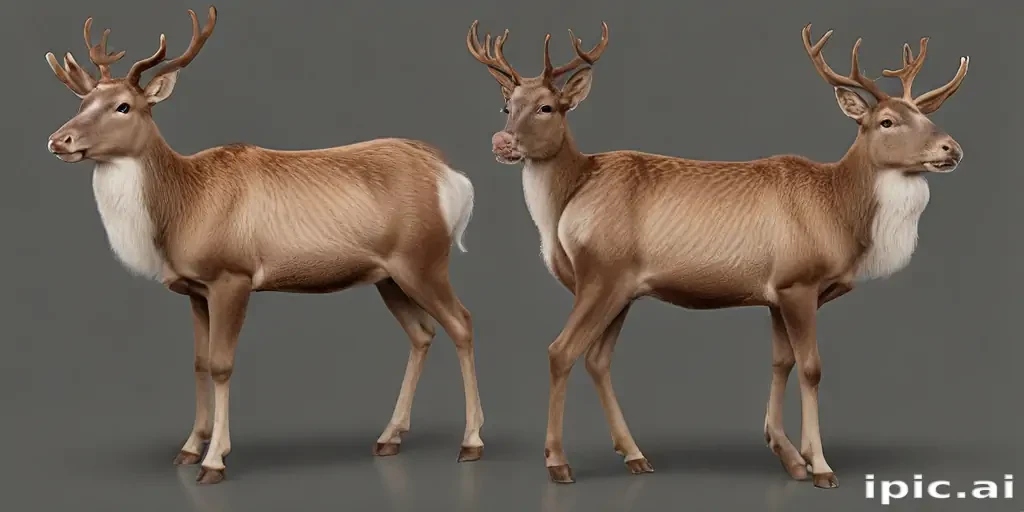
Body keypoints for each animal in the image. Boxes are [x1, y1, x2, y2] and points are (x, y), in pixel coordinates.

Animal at [44, 6, 485, 485]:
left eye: (123, 106)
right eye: (81, 103)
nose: (59, 140)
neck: (183, 210)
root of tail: (453, 179)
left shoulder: (232, 275)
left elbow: (221, 365)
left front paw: (215, 460)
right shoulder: (195, 289)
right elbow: (198, 363)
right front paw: (188, 448)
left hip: (425, 258)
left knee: (462, 322)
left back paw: (471, 441)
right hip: (388, 275)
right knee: (422, 333)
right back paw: (390, 437)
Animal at [467, 20, 968, 488]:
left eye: (924, 116)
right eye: (887, 121)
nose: (951, 148)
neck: (838, 213)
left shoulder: (777, 292)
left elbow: (782, 362)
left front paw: (791, 455)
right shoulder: (799, 281)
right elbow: (811, 368)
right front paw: (821, 465)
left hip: (620, 289)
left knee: (596, 358)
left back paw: (634, 455)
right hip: (601, 275)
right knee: (561, 350)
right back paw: (558, 462)